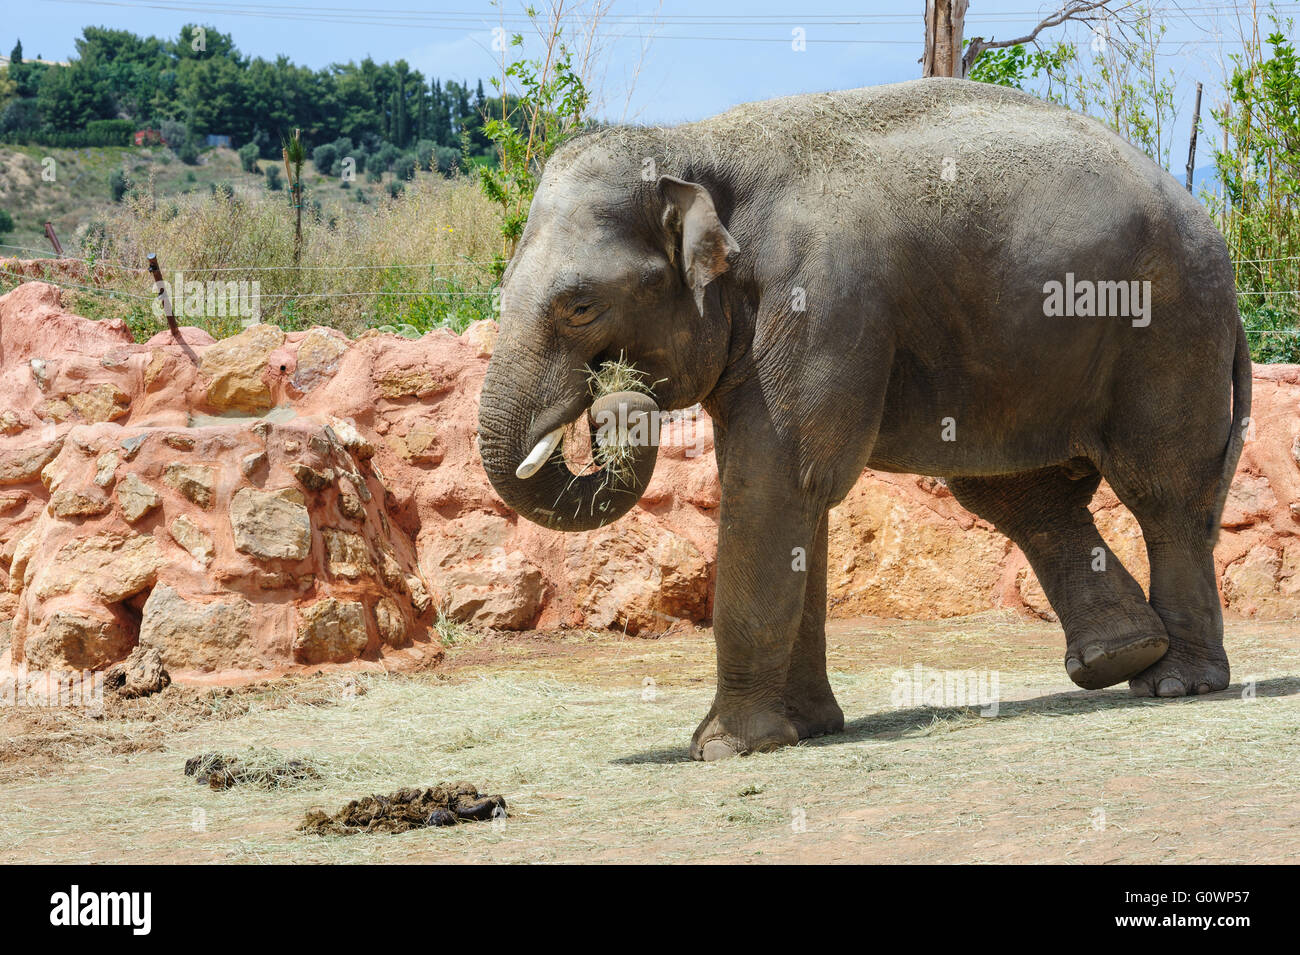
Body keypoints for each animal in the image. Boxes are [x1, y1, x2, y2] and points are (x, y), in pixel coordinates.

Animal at [475, 76, 1248, 764]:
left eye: (579, 305)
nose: (614, 397)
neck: (692, 145)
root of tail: (1203, 215)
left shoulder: (819, 296)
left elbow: (777, 482)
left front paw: (724, 748)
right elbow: (795, 502)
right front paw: (808, 730)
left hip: (1168, 326)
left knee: (1163, 492)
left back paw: (1174, 682)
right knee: (1020, 493)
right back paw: (1119, 657)